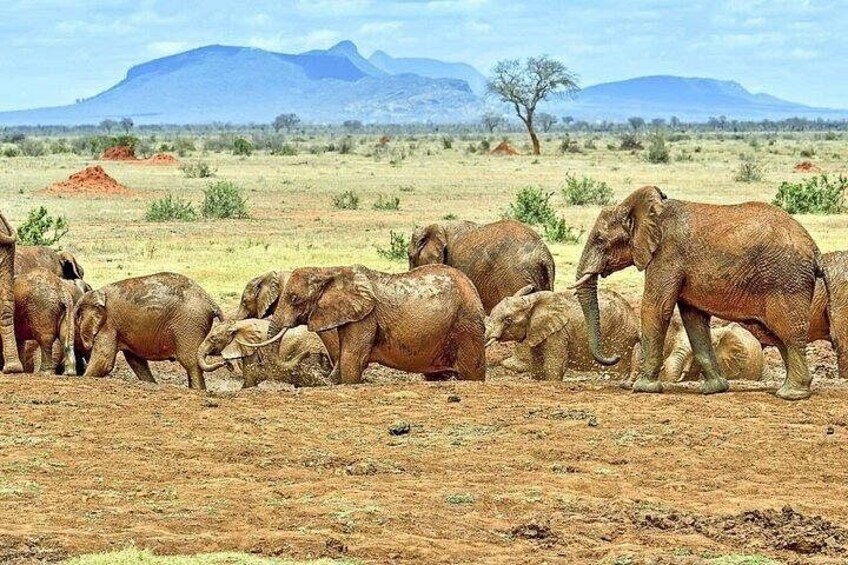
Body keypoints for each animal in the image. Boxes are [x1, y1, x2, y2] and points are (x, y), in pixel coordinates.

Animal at [75, 272, 222, 389]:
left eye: (77, 319)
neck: (95, 293)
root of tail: (210, 301)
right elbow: (136, 361)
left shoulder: (108, 323)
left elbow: (104, 360)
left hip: (188, 324)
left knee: (190, 362)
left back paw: (198, 391)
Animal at [242, 264, 486, 384]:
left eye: (294, 299)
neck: (329, 271)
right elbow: (344, 355)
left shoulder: (365, 318)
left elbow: (352, 358)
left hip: (466, 325)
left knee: (472, 371)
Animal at [485, 286, 639, 380]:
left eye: (508, 320)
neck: (532, 300)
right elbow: (537, 366)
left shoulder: (558, 333)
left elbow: (554, 365)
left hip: (620, 337)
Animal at [573, 185, 823, 400]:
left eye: (600, 240)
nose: (614, 357)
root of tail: (815, 249)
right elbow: (694, 318)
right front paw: (714, 389)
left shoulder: (666, 255)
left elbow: (656, 308)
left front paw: (643, 388)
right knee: (777, 336)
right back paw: (789, 388)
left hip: (786, 280)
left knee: (789, 333)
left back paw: (791, 394)